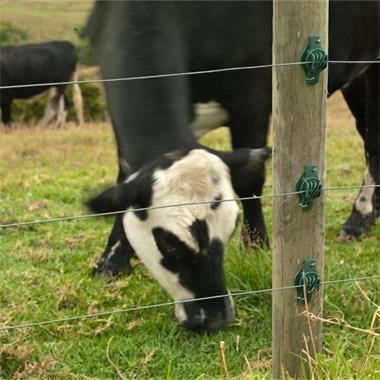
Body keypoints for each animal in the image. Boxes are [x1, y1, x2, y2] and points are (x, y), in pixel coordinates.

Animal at [88, 148, 272, 330]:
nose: (216, 320)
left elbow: (251, 178)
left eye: (230, 234)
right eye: (172, 248)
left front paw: (256, 244)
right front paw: (112, 264)